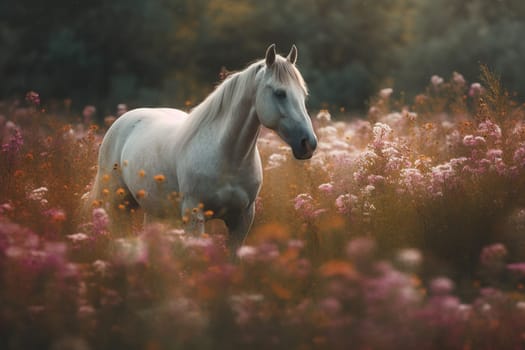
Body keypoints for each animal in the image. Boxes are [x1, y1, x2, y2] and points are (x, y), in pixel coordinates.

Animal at [88, 44, 318, 252]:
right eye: (280, 93)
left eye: (304, 94)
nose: (308, 143)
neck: (227, 157)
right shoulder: (194, 216)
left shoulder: (242, 220)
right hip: (119, 205)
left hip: (154, 209)